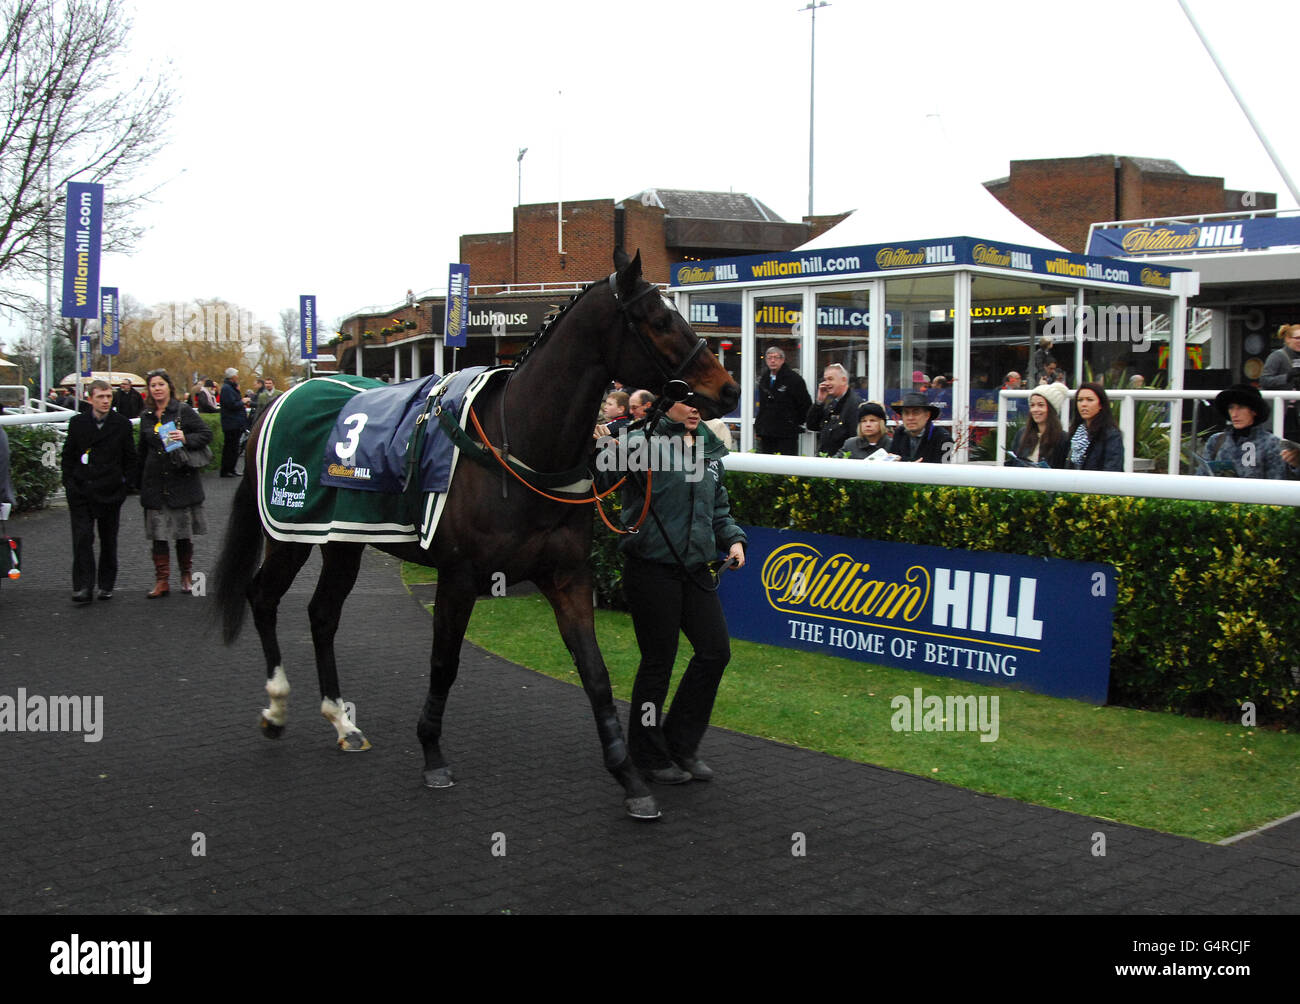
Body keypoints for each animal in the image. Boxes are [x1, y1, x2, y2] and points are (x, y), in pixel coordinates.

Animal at [218, 248, 738, 816]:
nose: (728, 388)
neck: (519, 448)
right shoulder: (459, 575)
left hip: (344, 539)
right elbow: (444, 663)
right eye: (660, 320)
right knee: (263, 597)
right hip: (290, 532)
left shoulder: (567, 576)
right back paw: (276, 709)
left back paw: (342, 721)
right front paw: (432, 754)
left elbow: (596, 675)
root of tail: (278, 399)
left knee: (322, 614)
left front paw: (630, 778)